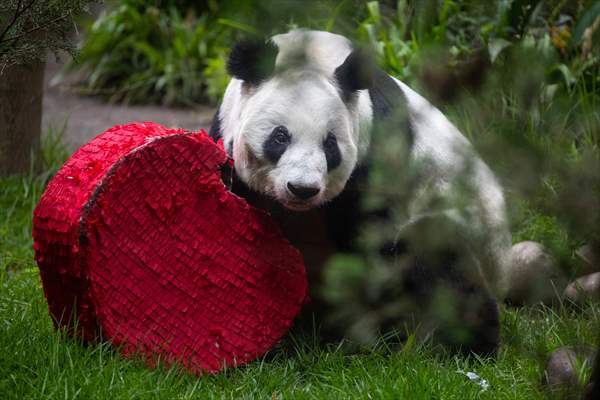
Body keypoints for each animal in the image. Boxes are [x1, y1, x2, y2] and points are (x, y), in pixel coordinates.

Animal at [209, 31, 512, 356]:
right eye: (280, 136)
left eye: (330, 144)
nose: (302, 189)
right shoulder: (226, 136)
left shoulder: (377, 152)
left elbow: (370, 241)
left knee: (440, 255)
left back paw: (465, 347)